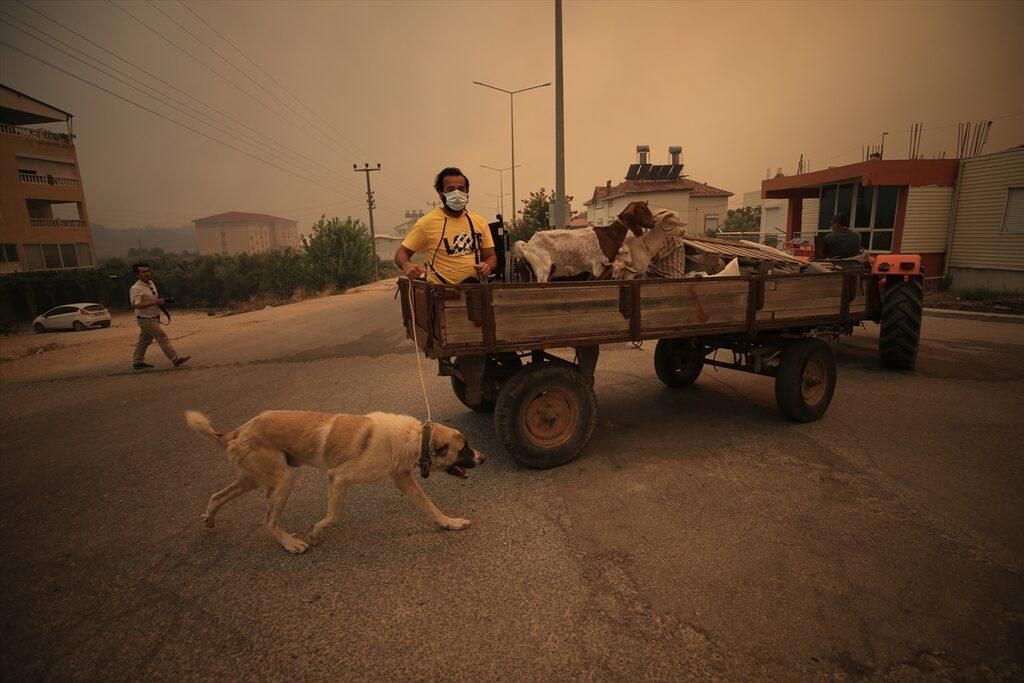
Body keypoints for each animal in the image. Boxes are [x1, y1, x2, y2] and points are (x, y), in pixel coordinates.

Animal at [186, 411, 485, 557]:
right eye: (464, 449)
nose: (483, 458)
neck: (416, 437)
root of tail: (239, 430)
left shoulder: (404, 480)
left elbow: (430, 507)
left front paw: (450, 523)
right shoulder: (338, 478)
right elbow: (333, 515)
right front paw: (315, 532)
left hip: (251, 478)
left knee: (217, 496)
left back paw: (209, 519)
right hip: (283, 479)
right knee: (269, 520)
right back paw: (290, 544)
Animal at [512, 200, 655, 282]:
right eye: (641, 208)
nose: (653, 222)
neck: (610, 235)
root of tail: (526, 246)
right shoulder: (598, 268)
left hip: (526, 274)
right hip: (542, 271)